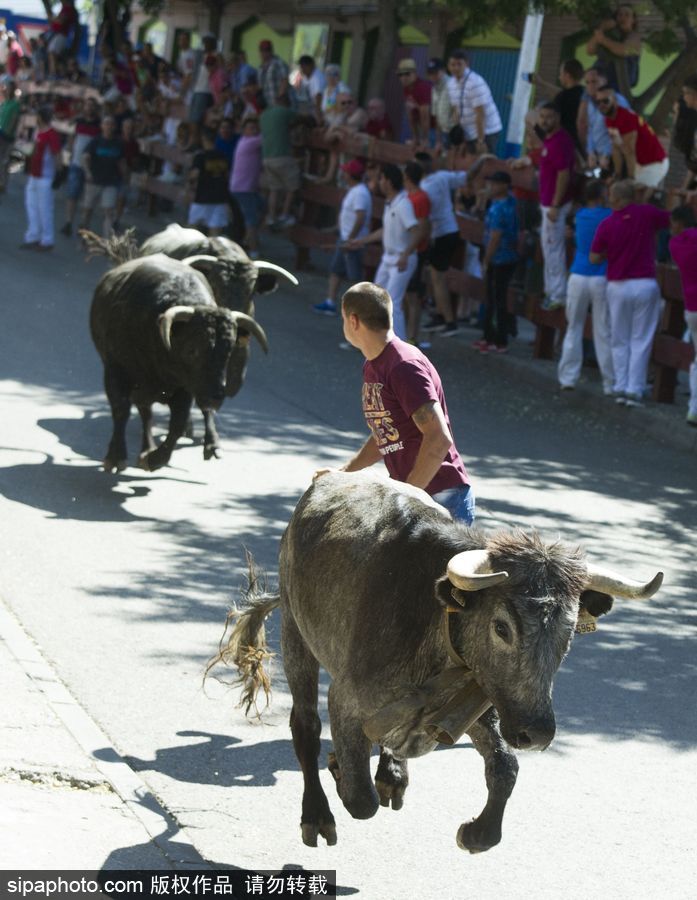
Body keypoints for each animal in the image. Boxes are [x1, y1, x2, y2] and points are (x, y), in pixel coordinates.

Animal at [218, 474, 664, 856]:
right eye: (502, 626)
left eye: (570, 630)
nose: (536, 732)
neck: (430, 617)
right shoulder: (346, 698)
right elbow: (360, 800)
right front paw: (343, 773)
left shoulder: (481, 693)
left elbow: (505, 766)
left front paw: (477, 833)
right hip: (296, 632)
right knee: (306, 726)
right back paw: (317, 814)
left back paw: (391, 774)